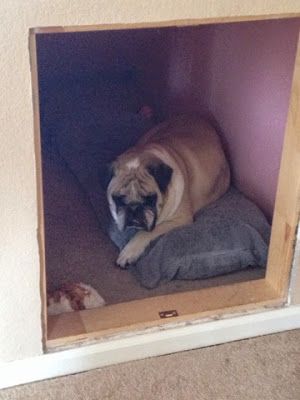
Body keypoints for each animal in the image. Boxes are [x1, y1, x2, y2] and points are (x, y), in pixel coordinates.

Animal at [106, 114, 231, 268]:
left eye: (150, 199)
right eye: (118, 199)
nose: (134, 208)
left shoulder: (178, 219)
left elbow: (145, 233)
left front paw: (129, 251)